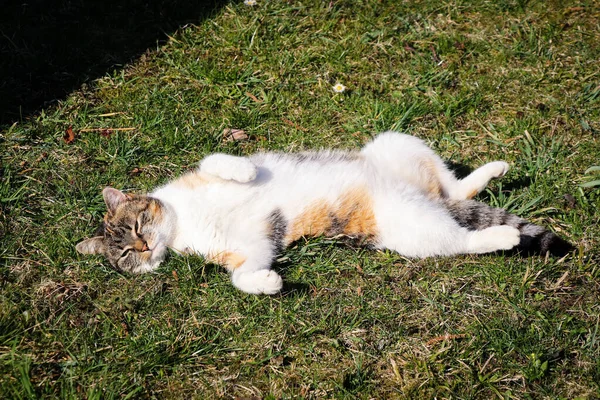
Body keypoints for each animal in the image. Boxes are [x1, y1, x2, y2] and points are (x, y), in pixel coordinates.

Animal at [75, 131, 572, 294]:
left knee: (455, 184)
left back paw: (493, 171)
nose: (144, 247)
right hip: (413, 229)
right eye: (124, 256)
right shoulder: (245, 246)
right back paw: (501, 237)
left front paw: (244, 169)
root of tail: (426, 199)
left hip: (396, 143)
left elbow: (216, 159)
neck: (181, 226)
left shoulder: (195, 176)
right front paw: (268, 283)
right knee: (461, 238)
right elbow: (243, 274)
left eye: (136, 224)